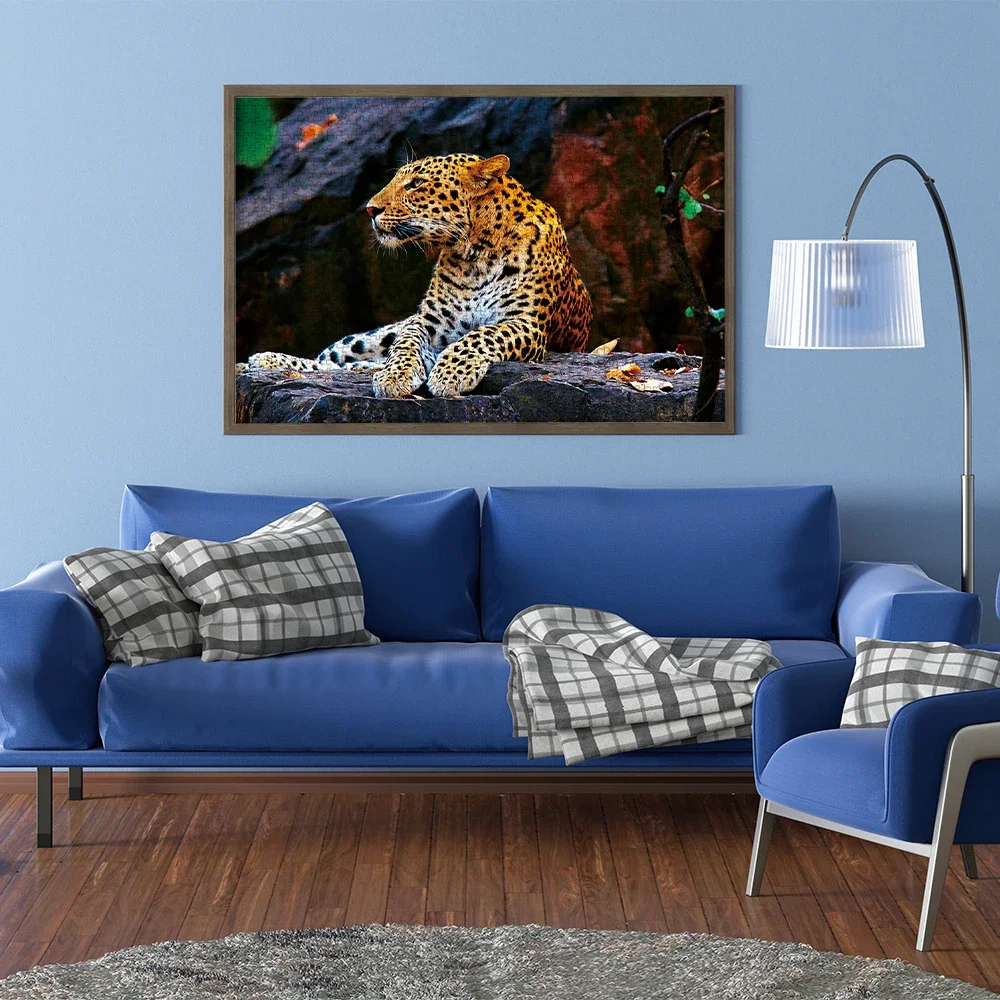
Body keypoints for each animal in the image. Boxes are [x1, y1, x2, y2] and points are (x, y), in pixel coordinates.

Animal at [242, 152, 593, 397]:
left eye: (417, 184)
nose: (370, 210)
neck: (476, 254)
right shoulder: (427, 322)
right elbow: (406, 344)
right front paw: (395, 376)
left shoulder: (526, 323)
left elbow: (482, 335)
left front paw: (451, 373)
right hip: (364, 339)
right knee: (333, 359)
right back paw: (264, 360)